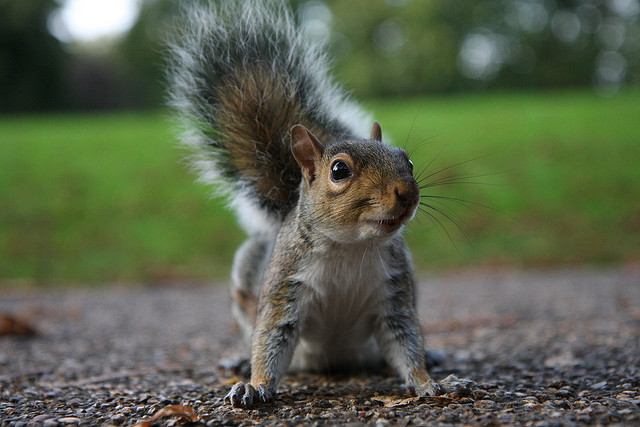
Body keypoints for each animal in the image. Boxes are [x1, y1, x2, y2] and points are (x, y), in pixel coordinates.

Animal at [168, 0, 472, 410]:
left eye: (406, 160)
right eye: (339, 170)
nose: (408, 192)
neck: (349, 247)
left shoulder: (395, 295)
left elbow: (406, 342)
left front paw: (429, 381)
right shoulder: (285, 288)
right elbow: (271, 339)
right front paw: (254, 385)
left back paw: (435, 354)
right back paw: (239, 360)